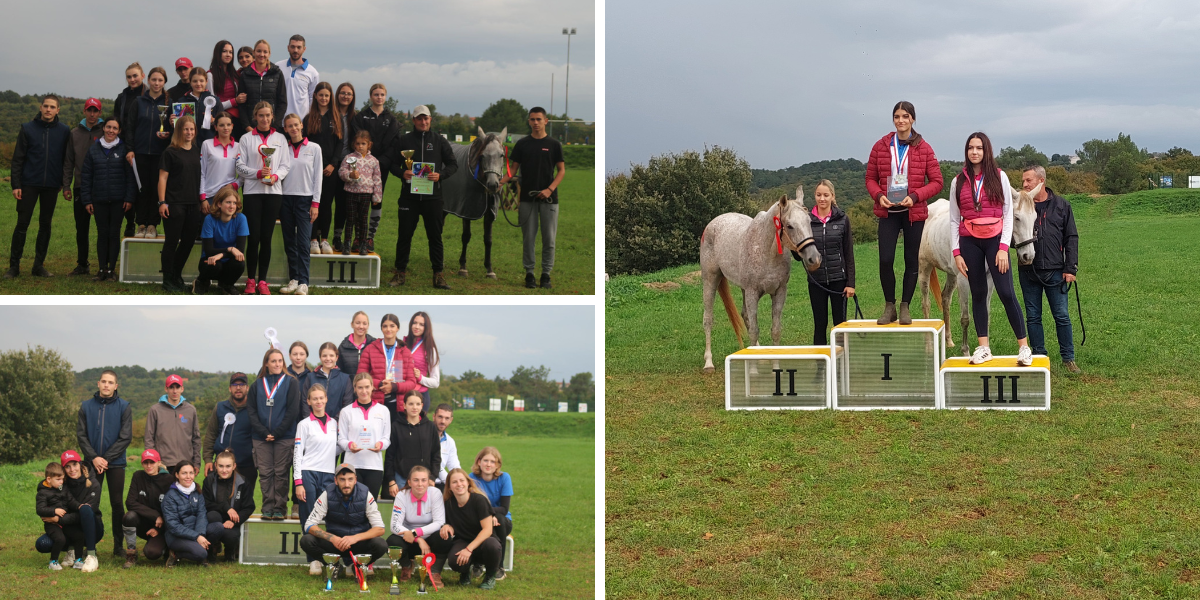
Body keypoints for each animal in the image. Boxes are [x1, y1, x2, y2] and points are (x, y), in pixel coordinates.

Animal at [446, 127, 511, 277]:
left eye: (501, 155)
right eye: (482, 156)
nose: (493, 185)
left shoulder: (490, 213)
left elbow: (488, 239)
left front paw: (489, 269)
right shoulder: (466, 210)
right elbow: (466, 236)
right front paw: (463, 267)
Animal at [700, 187, 825, 372]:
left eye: (809, 221)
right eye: (789, 225)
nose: (814, 259)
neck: (767, 251)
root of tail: (713, 223)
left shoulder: (779, 292)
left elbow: (775, 330)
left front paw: (775, 365)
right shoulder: (753, 293)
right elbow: (754, 330)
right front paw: (752, 370)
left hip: (743, 289)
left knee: (745, 316)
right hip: (711, 280)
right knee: (708, 319)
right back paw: (708, 363)